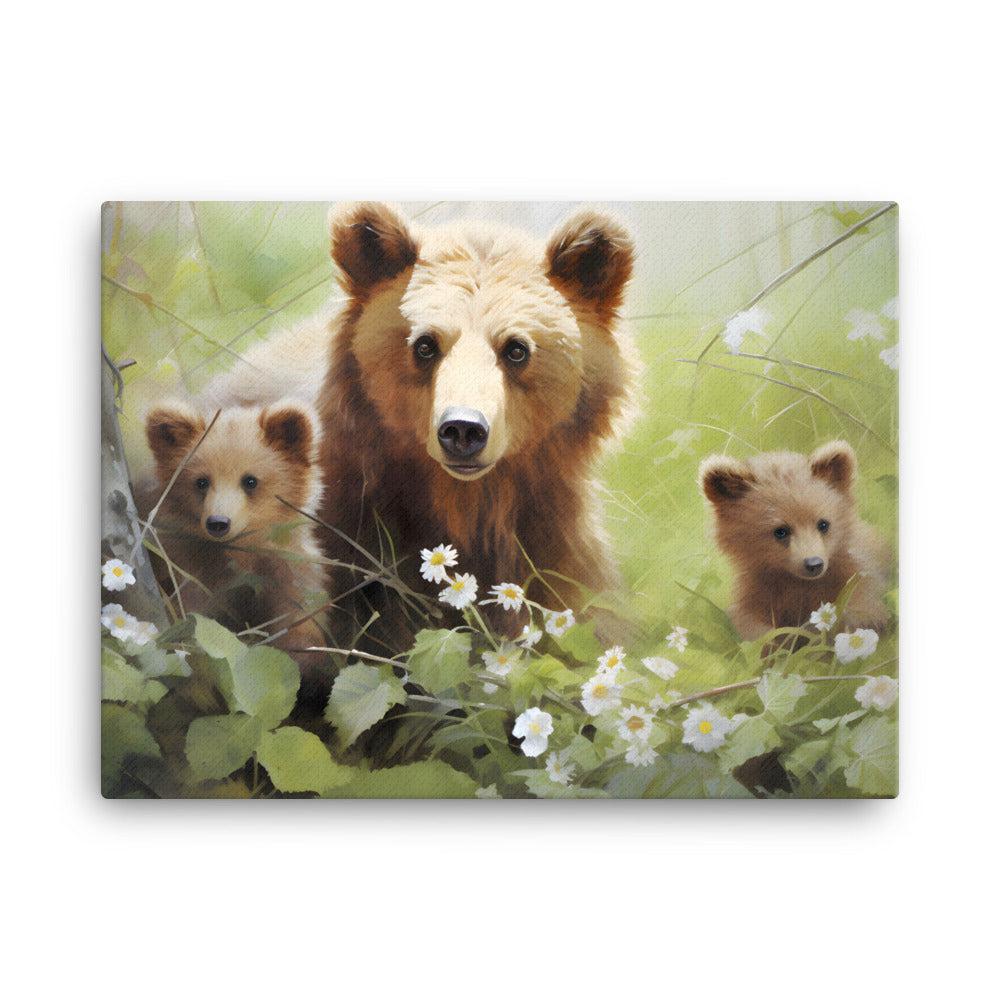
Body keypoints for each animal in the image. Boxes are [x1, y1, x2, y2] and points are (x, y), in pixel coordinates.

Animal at [141, 398, 330, 681]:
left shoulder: (288, 572)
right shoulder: (191, 570)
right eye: (201, 481)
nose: (218, 523)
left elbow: (300, 619)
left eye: (250, 480)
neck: (239, 554)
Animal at [208, 202, 641, 647]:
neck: (460, 504)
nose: (463, 429)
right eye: (425, 345)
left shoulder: (550, 539)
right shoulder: (342, 531)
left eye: (517, 349)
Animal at [699, 441, 889, 641]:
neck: (796, 581)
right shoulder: (758, 586)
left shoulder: (847, 568)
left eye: (823, 524)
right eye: (780, 531)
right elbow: (748, 618)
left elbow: (862, 588)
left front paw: (867, 619)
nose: (814, 564)